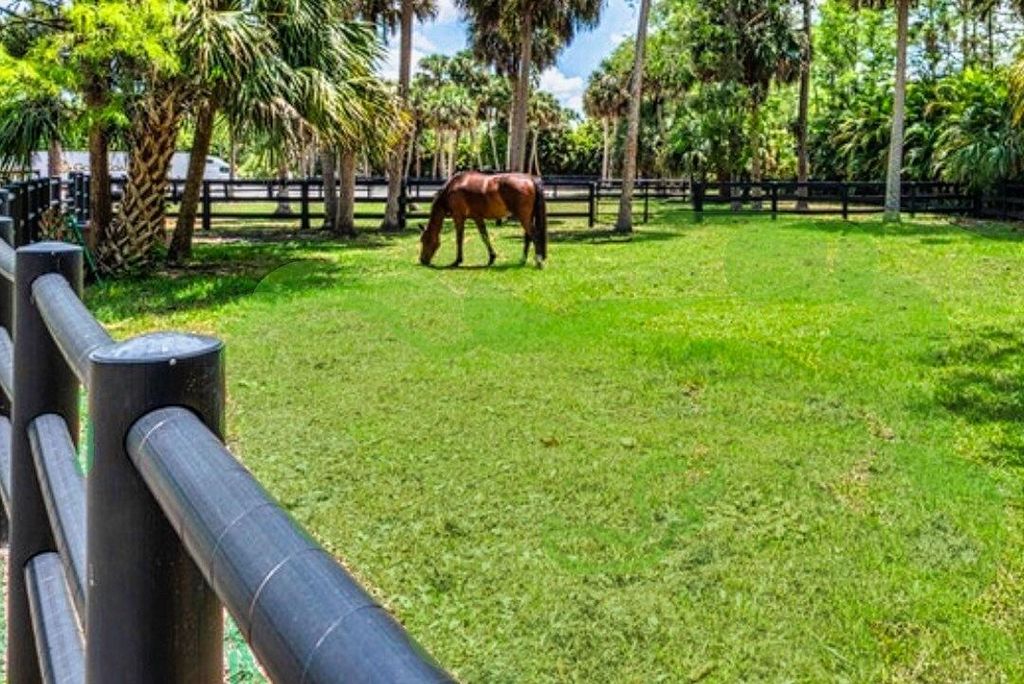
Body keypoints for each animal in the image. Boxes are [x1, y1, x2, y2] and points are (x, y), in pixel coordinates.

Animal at [419, 171, 548, 269]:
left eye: (424, 240)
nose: (422, 260)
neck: (453, 187)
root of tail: (530, 179)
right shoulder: (477, 218)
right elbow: (485, 237)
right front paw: (492, 258)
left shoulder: (459, 217)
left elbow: (459, 239)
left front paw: (457, 261)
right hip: (527, 217)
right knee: (528, 237)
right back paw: (523, 260)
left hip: (524, 217)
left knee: (534, 235)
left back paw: (538, 261)